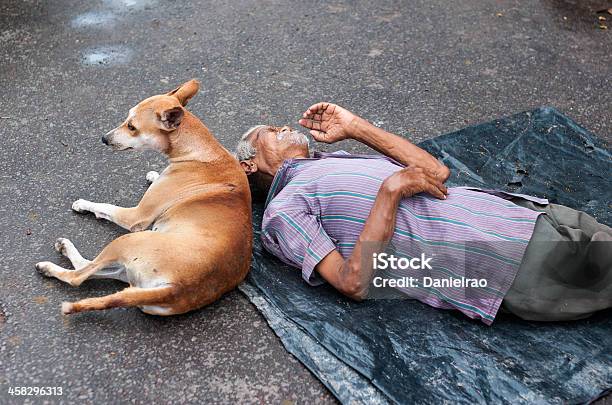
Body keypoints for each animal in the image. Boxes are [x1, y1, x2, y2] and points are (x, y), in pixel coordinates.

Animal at [35, 79, 252, 316]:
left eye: (132, 127)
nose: (104, 138)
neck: (199, 151)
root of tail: (174, 288)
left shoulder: (135, 217)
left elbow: (105, 206)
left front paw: (84, 203)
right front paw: (153, 175)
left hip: (127, 241)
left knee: (79, 276)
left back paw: (53, 263)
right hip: (127, 274)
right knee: (91, 270)